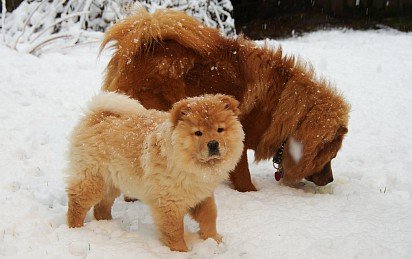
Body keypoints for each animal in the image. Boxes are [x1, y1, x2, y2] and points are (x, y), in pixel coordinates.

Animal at [65, 92, 243, 253]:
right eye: (198, 133)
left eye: (220, 129)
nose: (213, 143)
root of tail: (97, 116)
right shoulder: (169, 202)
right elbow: (174, 230)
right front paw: (180, 251)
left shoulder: (202, 193)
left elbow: (210, 216)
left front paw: (214, 240)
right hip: (93, 179)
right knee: (77, 204)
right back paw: (76, 230)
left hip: (112, 182)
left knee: (101, 207)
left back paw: (108, 225)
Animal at [100, 7, 350, 193]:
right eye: (331, 156)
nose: (330, 180)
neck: (281, 109)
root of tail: (137, 45)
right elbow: (243, 176)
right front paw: (251, 192)